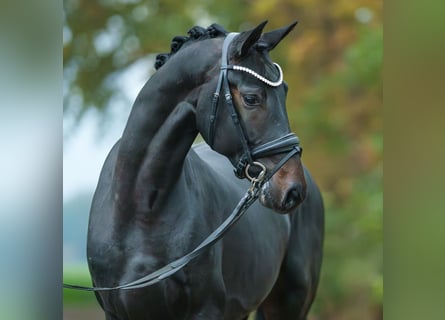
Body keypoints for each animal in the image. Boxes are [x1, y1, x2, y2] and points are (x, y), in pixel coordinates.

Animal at [86, 21, 322, 318]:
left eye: (285, 92)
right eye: (251, 98)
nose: (293, 190)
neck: (141, 211)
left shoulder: (206, 309)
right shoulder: (115, 312)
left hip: (292, 303)